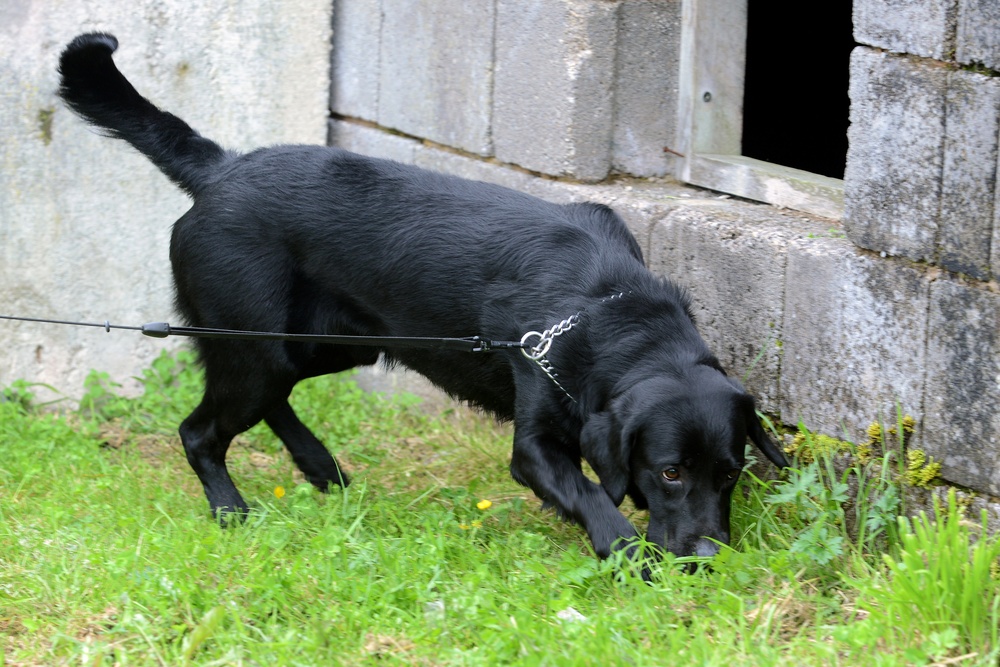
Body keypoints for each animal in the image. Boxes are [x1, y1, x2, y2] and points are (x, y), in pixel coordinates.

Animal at [58, 34, 788, 568]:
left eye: (731, 474)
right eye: (669, 472)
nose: (709, 558)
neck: (607, 303)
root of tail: (222, 167)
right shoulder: (536, 444)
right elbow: (590, 493)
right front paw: (627, 555)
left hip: (324, 345)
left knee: (268, 401)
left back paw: (320, 466)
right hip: (257, 346)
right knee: (201, 429)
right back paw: (231, 510)